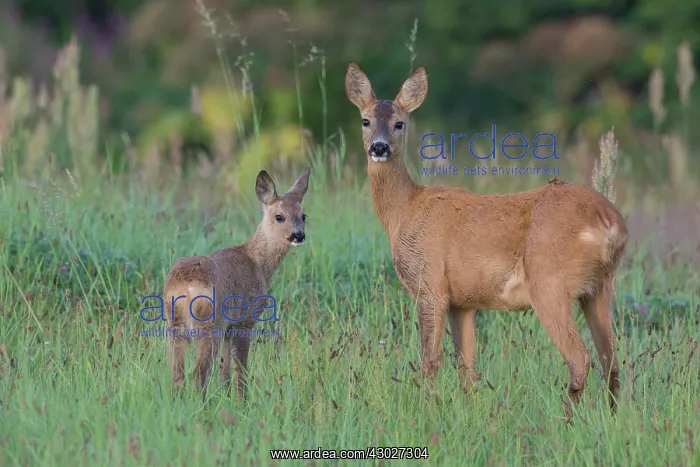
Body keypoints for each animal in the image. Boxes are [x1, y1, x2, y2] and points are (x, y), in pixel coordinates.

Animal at [163, 168, 311, 402]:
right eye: (279, 216)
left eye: (303, 216)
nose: (298, 235)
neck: (257, 263)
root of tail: (185, 286)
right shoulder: (245, 321)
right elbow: (240, 369)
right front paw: (243, 402)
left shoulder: (228, 327)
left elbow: (225, 371)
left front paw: (228, 398)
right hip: (208, 324)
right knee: (198, 374)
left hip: (174, 325)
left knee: (177, 374)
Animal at [345, 62, 628, 421]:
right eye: (365, 120)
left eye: (399, 123)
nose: (379, 147)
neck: (403, 212)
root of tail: (609, 222)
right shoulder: (462, 302)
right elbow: (467, 368)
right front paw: (469, 415)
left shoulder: (429, 285)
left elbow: (430, 361)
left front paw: (427, 413)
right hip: (599, 286)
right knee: (611, 360)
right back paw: (613, 420)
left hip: (550, 283)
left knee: (580, 358)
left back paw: (564, 421)